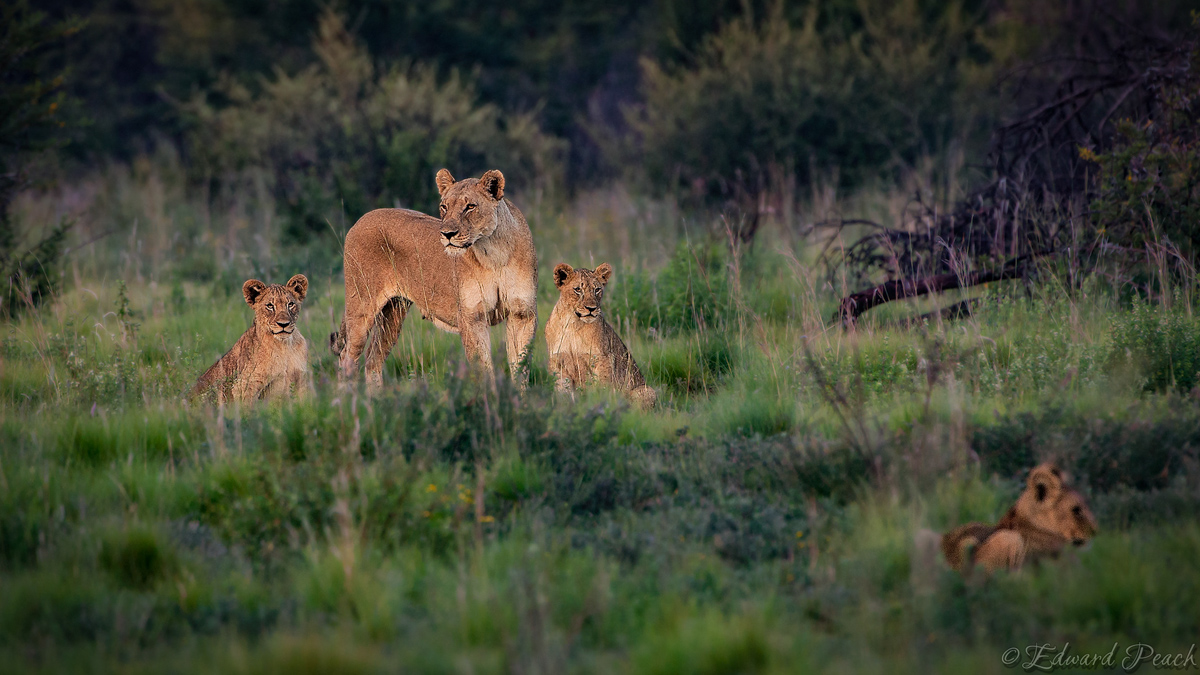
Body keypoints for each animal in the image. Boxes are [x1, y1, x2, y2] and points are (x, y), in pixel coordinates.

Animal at [190, 274, 312, 403]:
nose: (283, 324)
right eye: (270, 306)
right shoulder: (245, 385)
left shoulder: (301, 380)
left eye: (290, 304)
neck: (284, 346)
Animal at [331, 169, 537, 390]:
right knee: (347, 357)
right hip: (361, 307)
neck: (494, 254)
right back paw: (349, 398)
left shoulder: (522, 314)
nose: (447, 234)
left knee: (372, 360)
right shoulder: (472, 317)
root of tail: (361, 219)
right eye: (444, 207)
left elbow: (520, 368)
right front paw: (490, 397)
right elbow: (483, 370)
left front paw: (518, 397)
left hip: (394, 312)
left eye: (470, 207)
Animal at [546, 262, 657, 409]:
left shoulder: (603, 358)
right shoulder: (557, 361)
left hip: (647, 390)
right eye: (577, 289)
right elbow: (562, 391)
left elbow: (602, 388)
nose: (591, 308)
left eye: (597, 289)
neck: (573, 324)